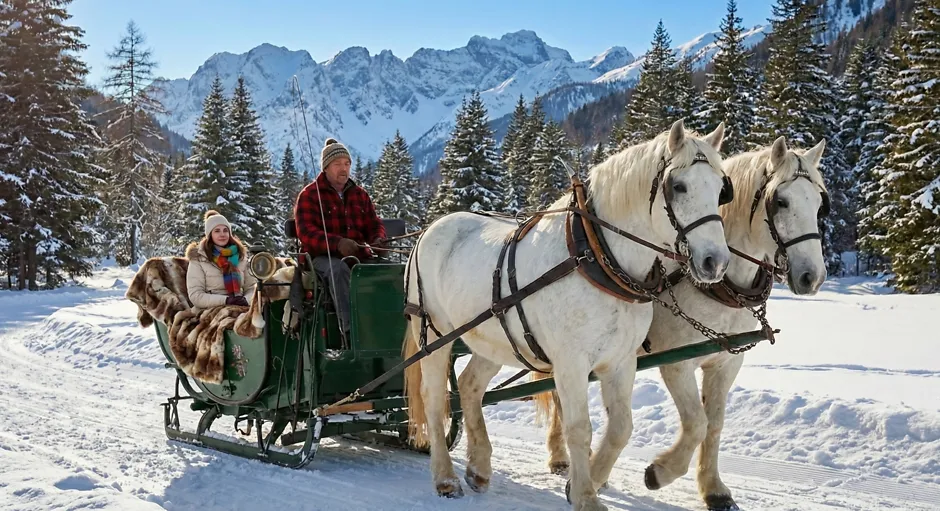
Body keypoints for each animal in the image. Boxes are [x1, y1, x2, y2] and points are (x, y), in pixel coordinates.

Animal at [402, 119, 733, 511]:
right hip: (436, 335)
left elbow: (621, 428)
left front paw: (586, 481)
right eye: (678, 186)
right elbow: (580, 428)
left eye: (721, 189)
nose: (716, 262)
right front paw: (586, 496)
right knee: (434, 399)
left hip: (493, 338)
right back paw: (445, 477)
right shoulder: (571, 363)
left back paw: (479, 467)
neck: (595, 256)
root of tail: (429, 229)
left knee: (469, 386)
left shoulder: (620, 361)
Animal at [533, 136, 830, 511]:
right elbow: (697, 422)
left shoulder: (726, 363)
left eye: (819, 203)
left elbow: (714, 424)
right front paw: (658, 473)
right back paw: (565, 459)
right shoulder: (676, 362)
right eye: (781, 201)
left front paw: (714, 488)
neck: (722, 285)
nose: (812, 277)